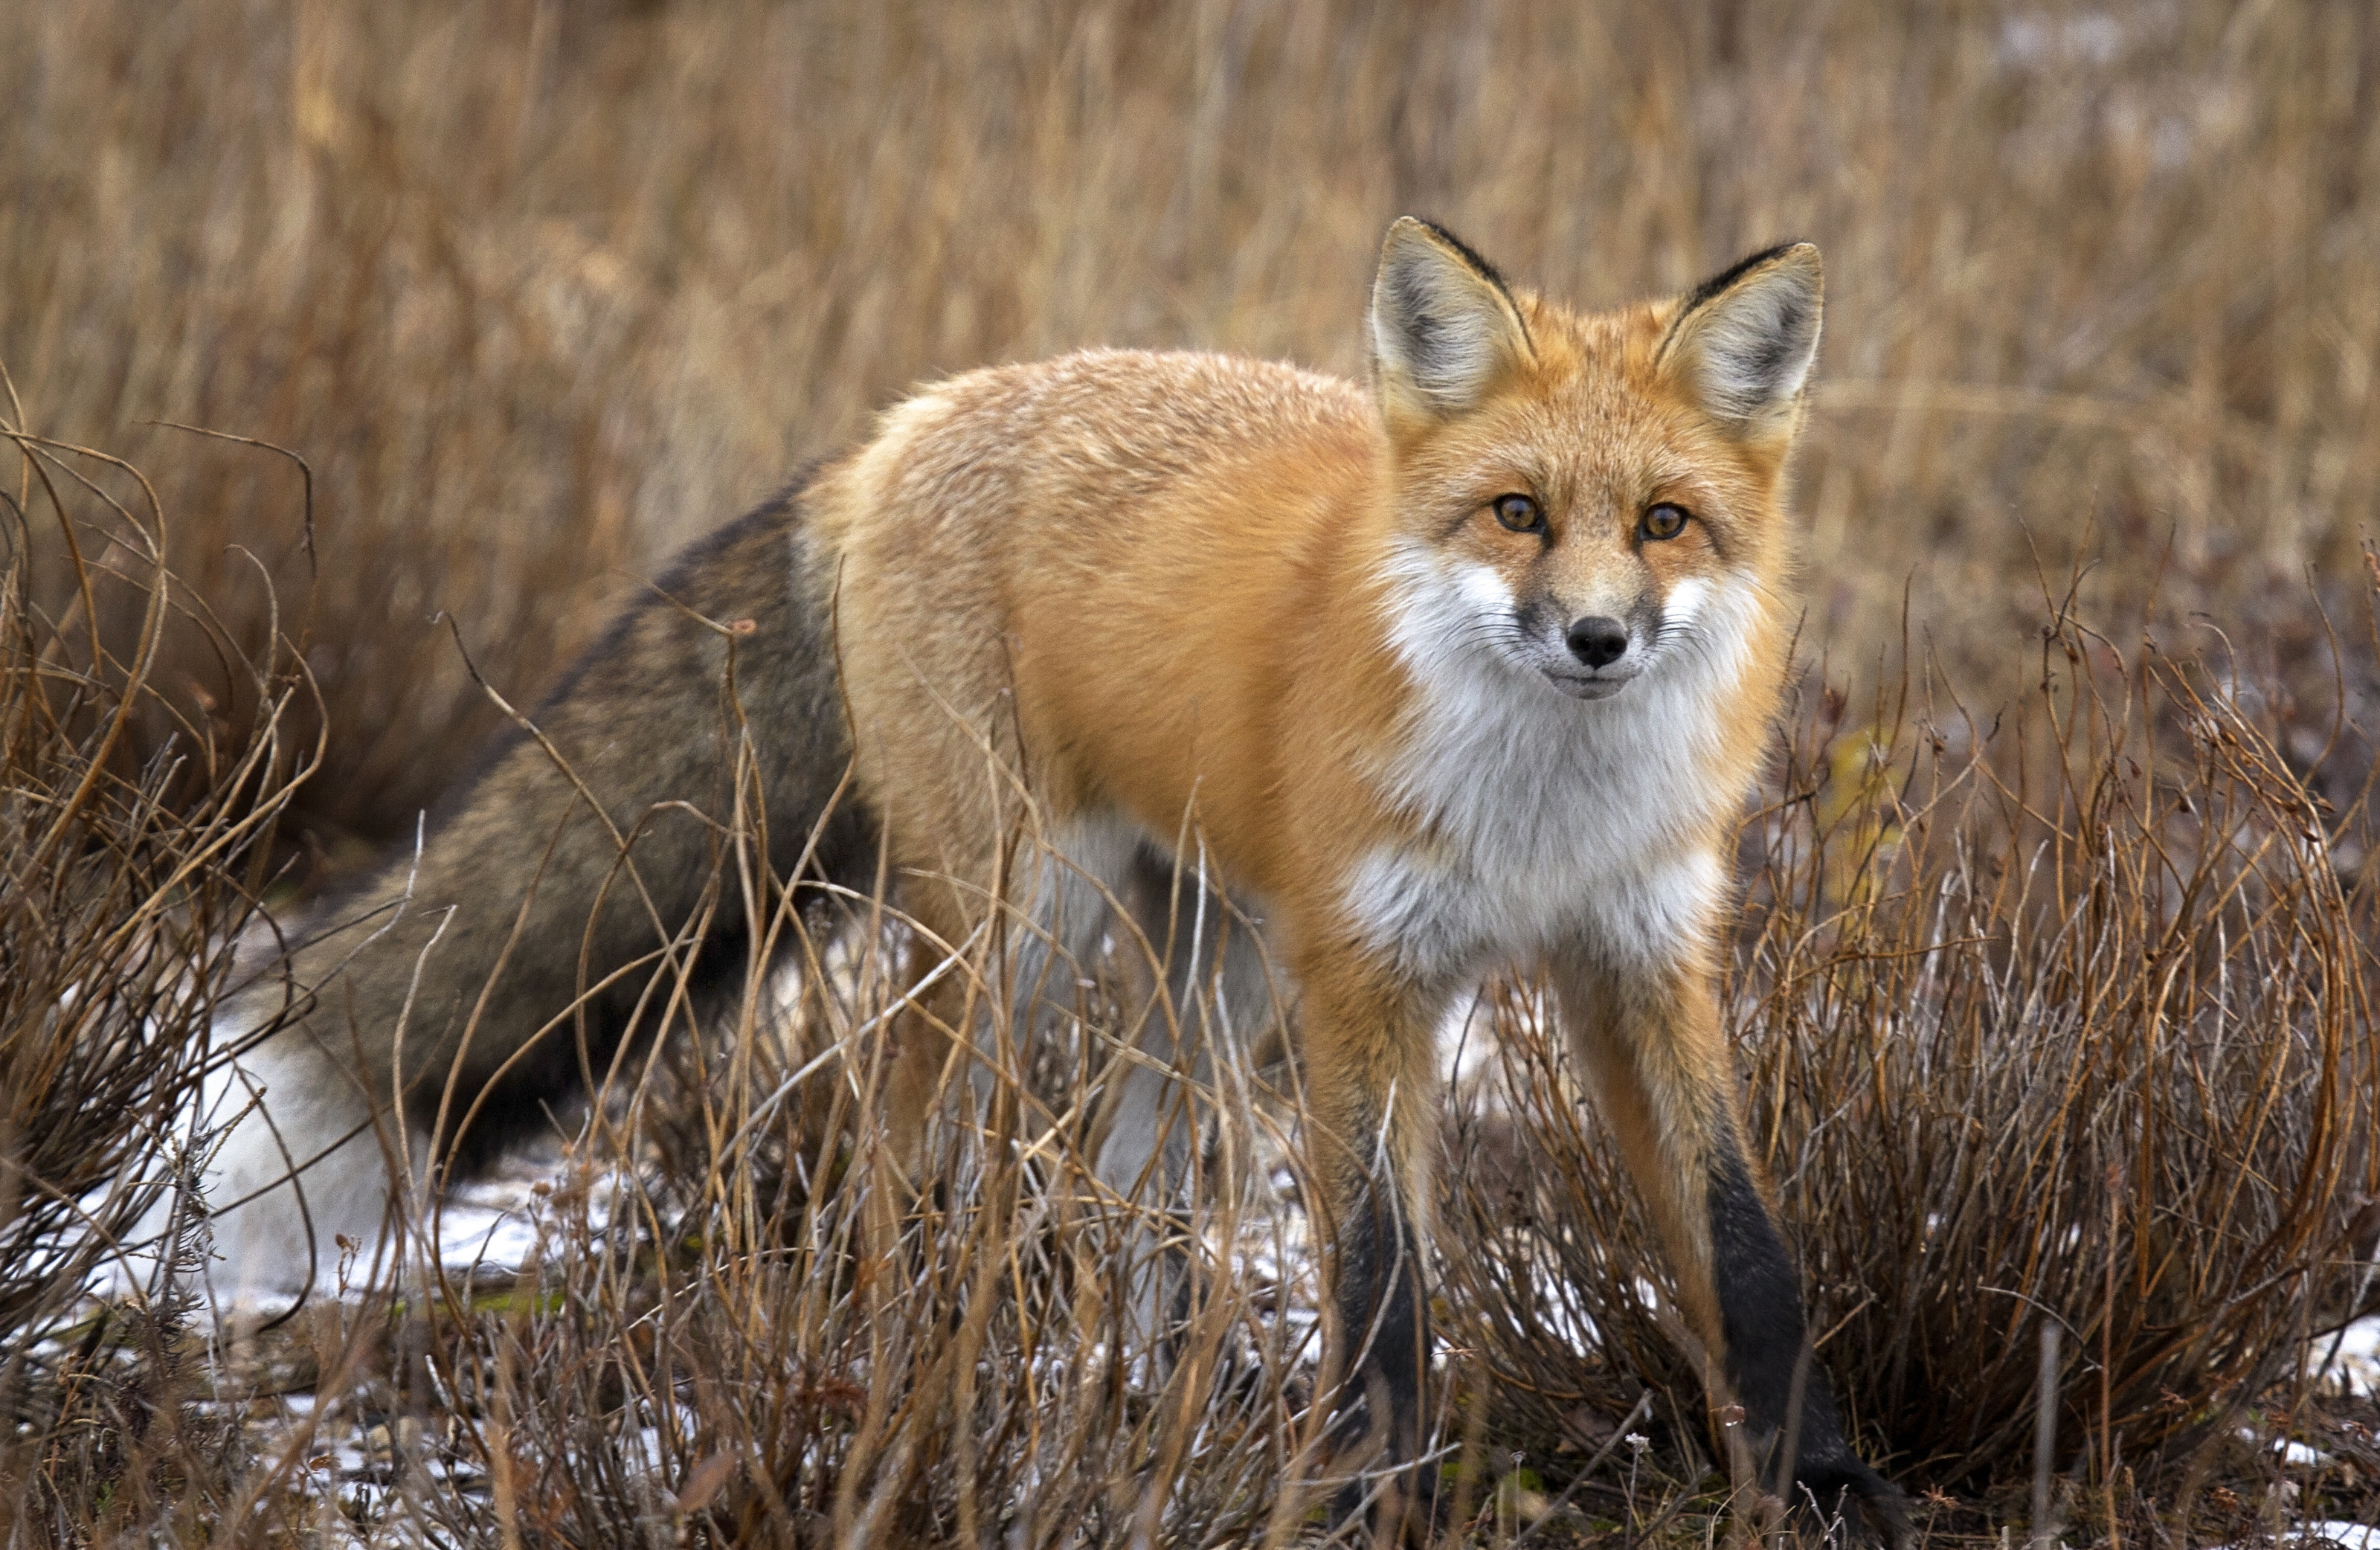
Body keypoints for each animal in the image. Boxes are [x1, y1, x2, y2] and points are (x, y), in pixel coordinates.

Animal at [173, 217, 1894, 1543]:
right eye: (1517, 513)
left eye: (1664, 523)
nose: (1596, 637)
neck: (1544, 804)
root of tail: (910, 422)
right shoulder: (1366, 982)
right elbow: (1381, 1273)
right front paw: (1370, 1497)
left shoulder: (1638, 959)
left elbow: (1747, 1245)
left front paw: (1816, 1480)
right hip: (1022, 929)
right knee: (898, 1149)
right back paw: (892, 1393)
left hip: (1209, 969)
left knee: (1127, 1174)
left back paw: (1137, 1390)